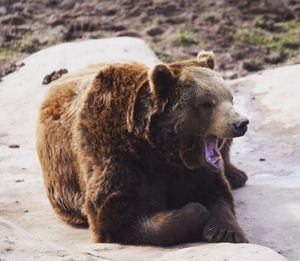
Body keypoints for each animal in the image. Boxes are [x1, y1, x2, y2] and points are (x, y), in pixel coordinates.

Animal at [36, 50, 250, 244]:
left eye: (229, 97)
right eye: (207, 103)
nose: (241, 123)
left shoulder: (190, 169)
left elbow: (216, 192)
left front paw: (224, 231)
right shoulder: (118, 155)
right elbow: (119, 215)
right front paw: (196, 210)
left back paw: (236, 174)